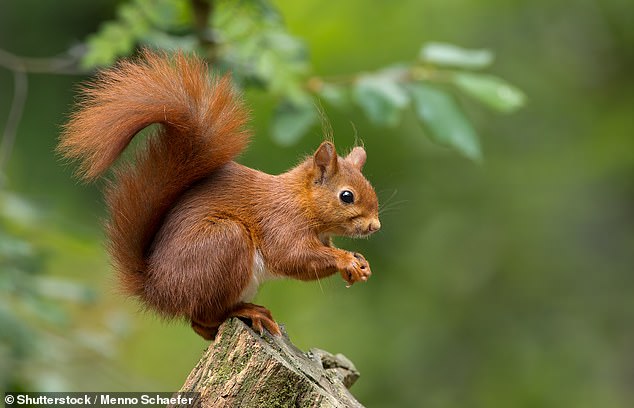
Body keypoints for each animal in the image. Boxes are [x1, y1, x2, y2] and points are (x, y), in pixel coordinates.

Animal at [58, 49, 380, 340]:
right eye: (347, 196)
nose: (375, 226)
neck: (301, 201)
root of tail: (157, 290)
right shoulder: (281, 222)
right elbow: (292, 256)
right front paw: (346, 260)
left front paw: (360, 263)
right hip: (225, 243)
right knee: (203, 317)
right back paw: (246, 311)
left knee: (200, 326)